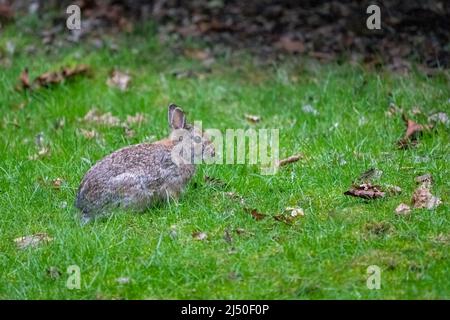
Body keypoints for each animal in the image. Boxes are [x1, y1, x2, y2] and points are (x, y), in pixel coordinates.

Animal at [75, 104, 214, 222]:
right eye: (198, 139)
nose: (213, 152)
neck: (180, 149)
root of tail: (85, 207)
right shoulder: (172, 182)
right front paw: (178, 205)